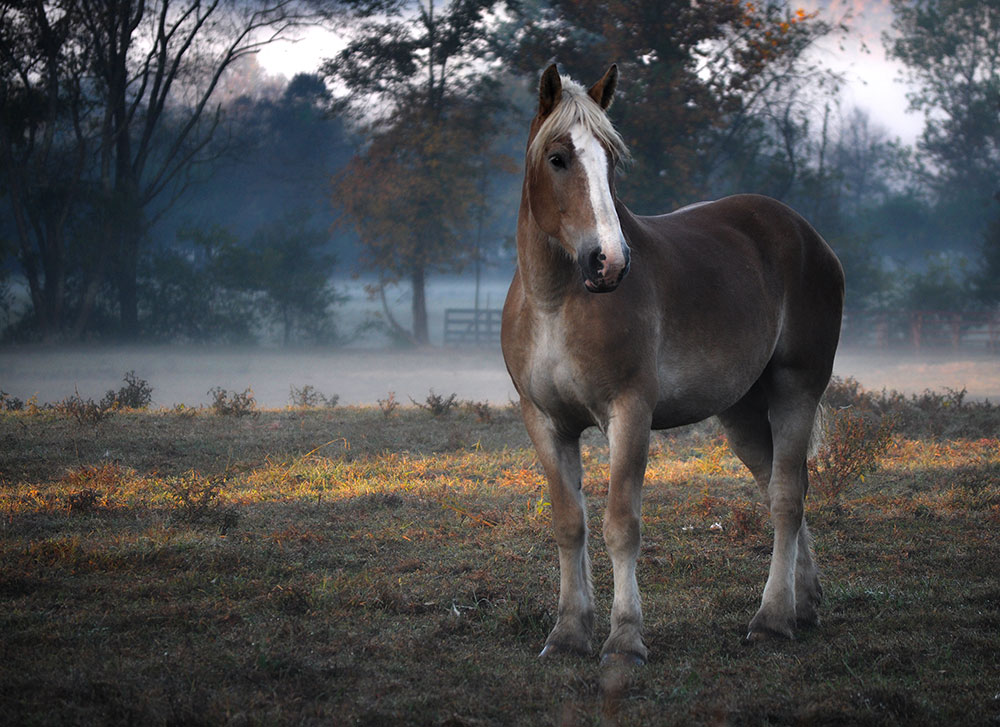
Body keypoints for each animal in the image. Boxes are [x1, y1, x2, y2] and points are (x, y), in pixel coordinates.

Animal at [500, 64, 845, 665]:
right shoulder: (544, 421)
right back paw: (805, 603)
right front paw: (568, 633)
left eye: (611, 159)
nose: (609, 261)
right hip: (741, 413)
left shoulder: (629, 413)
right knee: (779, 484)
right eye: (558, 157)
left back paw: (773, 618)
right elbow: (569, 525)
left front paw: (624, 638)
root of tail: (808, 235)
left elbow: (621, 525)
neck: (554, 302)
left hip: (797, 389)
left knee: (786, 497)